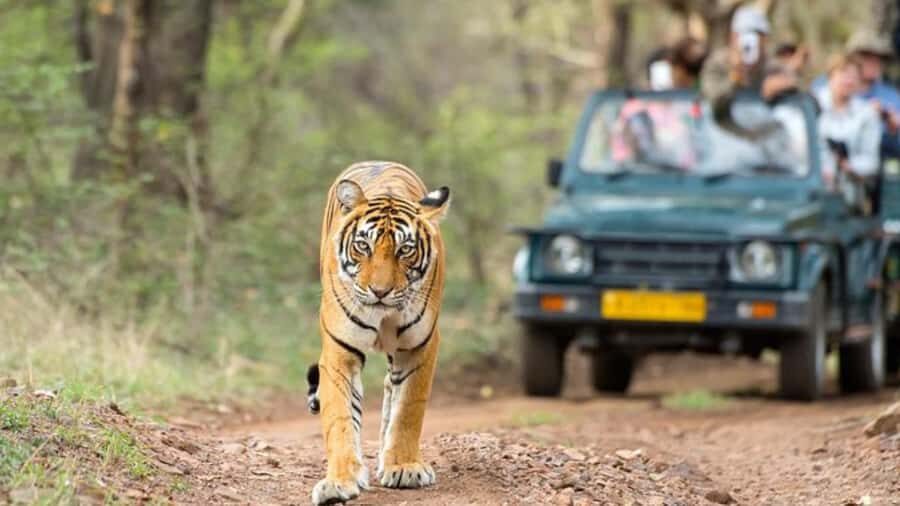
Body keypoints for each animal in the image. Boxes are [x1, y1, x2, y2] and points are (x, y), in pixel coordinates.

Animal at [307, 161, 450, 505]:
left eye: (405, 250)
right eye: (363, 246)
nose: (380, 291)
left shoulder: (419, 347)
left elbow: (408, 409)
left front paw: (403, 467)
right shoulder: (339, 351)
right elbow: (340, 417)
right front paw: (339, 482)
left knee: (390, 390)